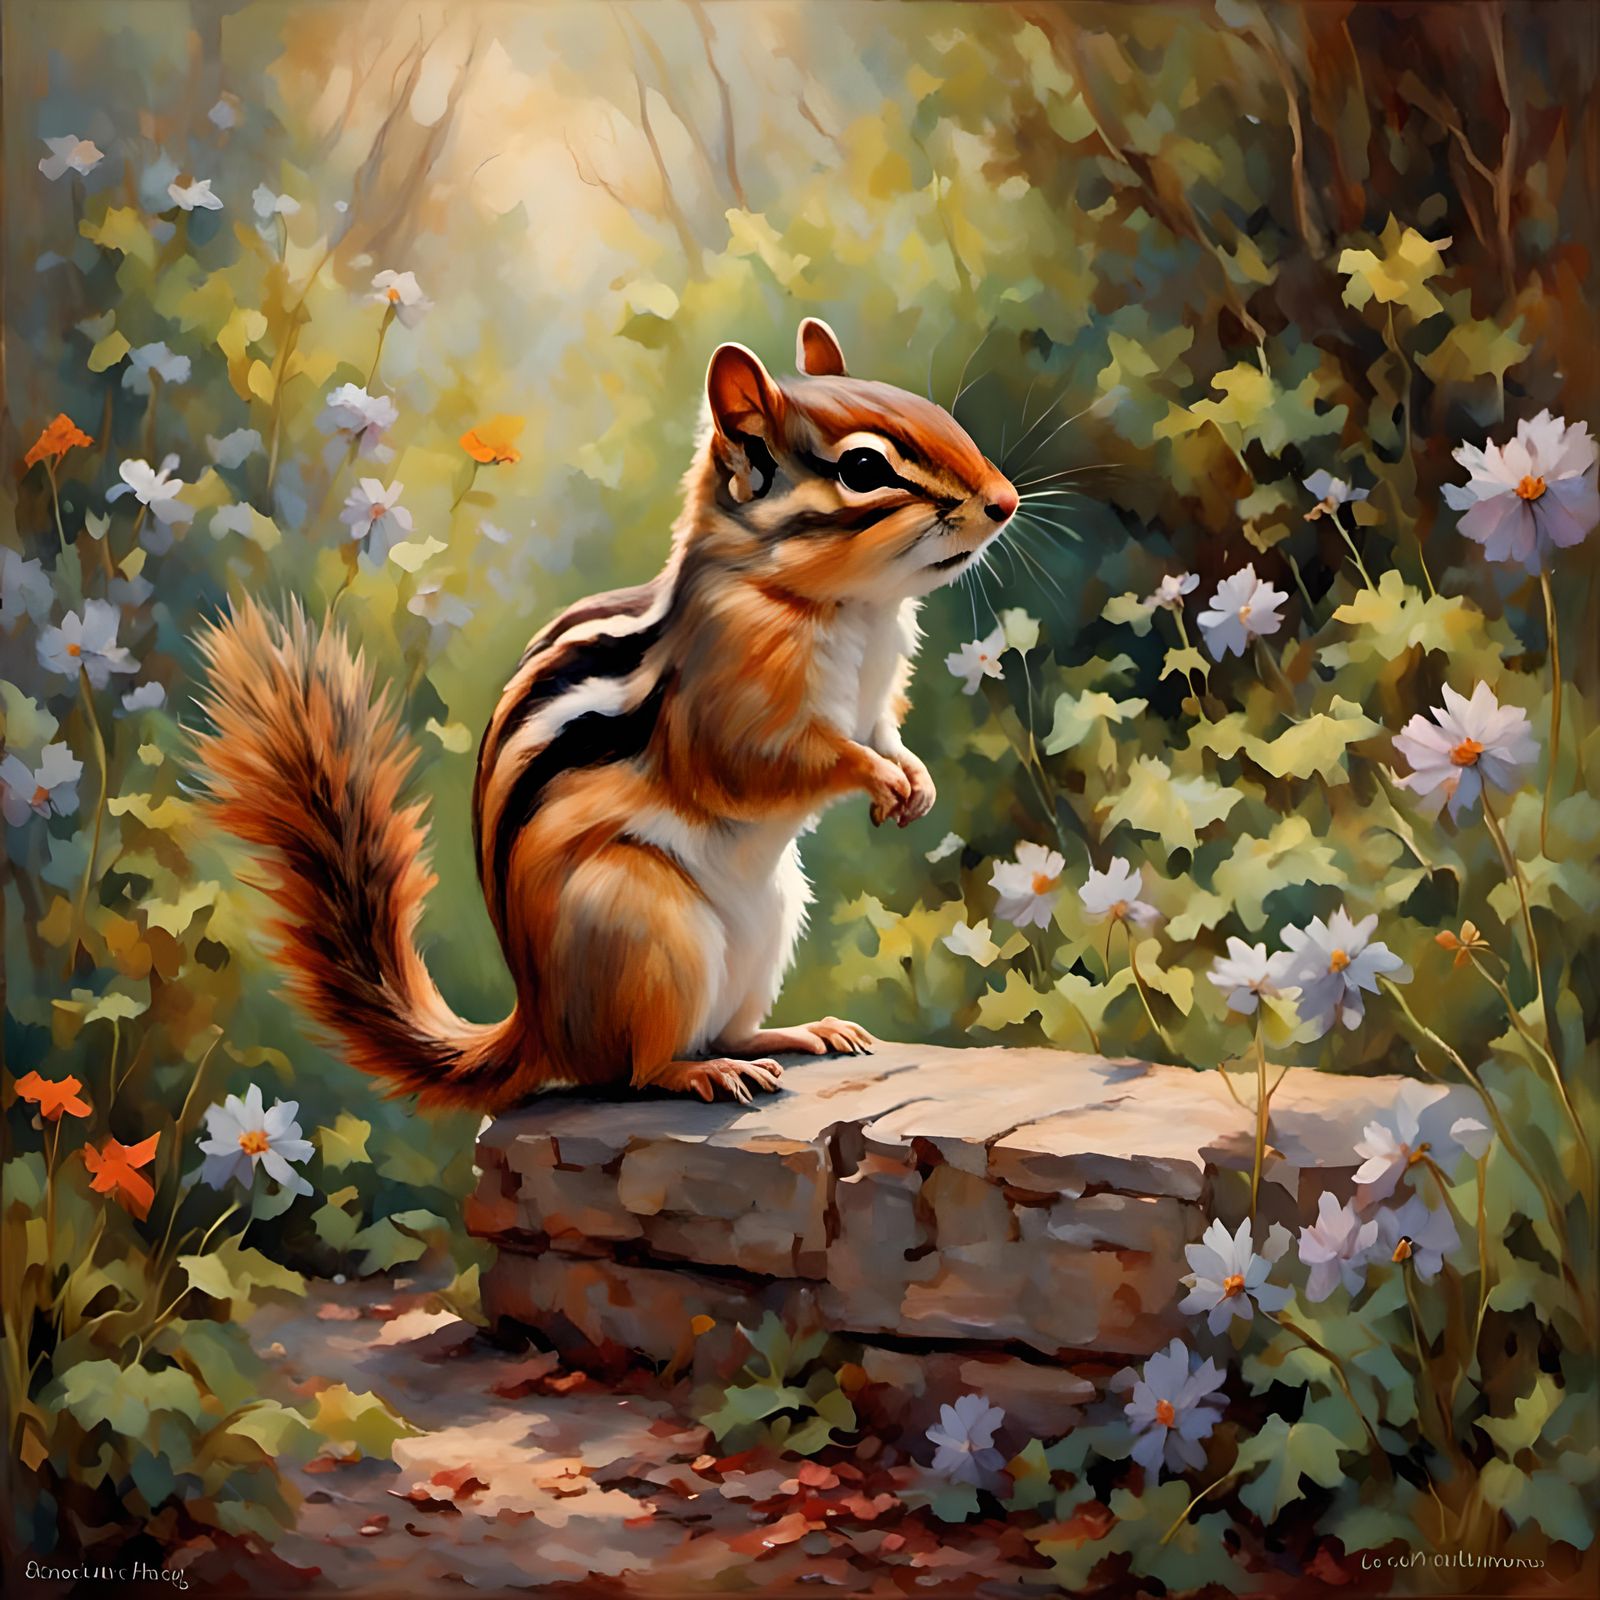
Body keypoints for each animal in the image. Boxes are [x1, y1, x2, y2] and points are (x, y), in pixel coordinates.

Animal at [194, 318, 1018, 1111]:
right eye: (864, 470)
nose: (1004, 501)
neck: (855, 608)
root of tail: (539, 1024)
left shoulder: (874, 701)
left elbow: (884, 736)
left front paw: (914, 780)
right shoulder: (723, 703)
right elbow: (758, 763)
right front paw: (875, 778)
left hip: (768, 925)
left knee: (724, 1027)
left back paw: (794, 1034)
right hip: (644, 930)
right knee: (636, 1067)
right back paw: (700, 1074)